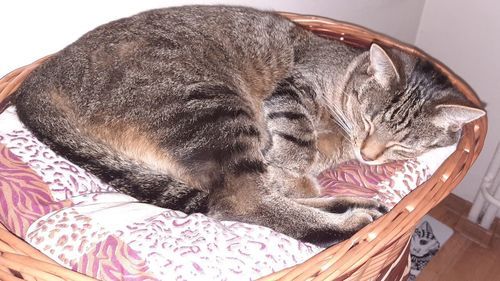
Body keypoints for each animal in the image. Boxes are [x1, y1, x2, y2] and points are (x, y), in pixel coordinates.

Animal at [13, 4, 484, 245]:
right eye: (368, 119)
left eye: (402, 145)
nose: (368, 155)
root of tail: (35, 86)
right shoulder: (295, 88)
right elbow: (295, 144)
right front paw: (298, 161)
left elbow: (296, 179)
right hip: (212, 105)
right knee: (242, 202)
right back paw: (346, 223)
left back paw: (348, 204)